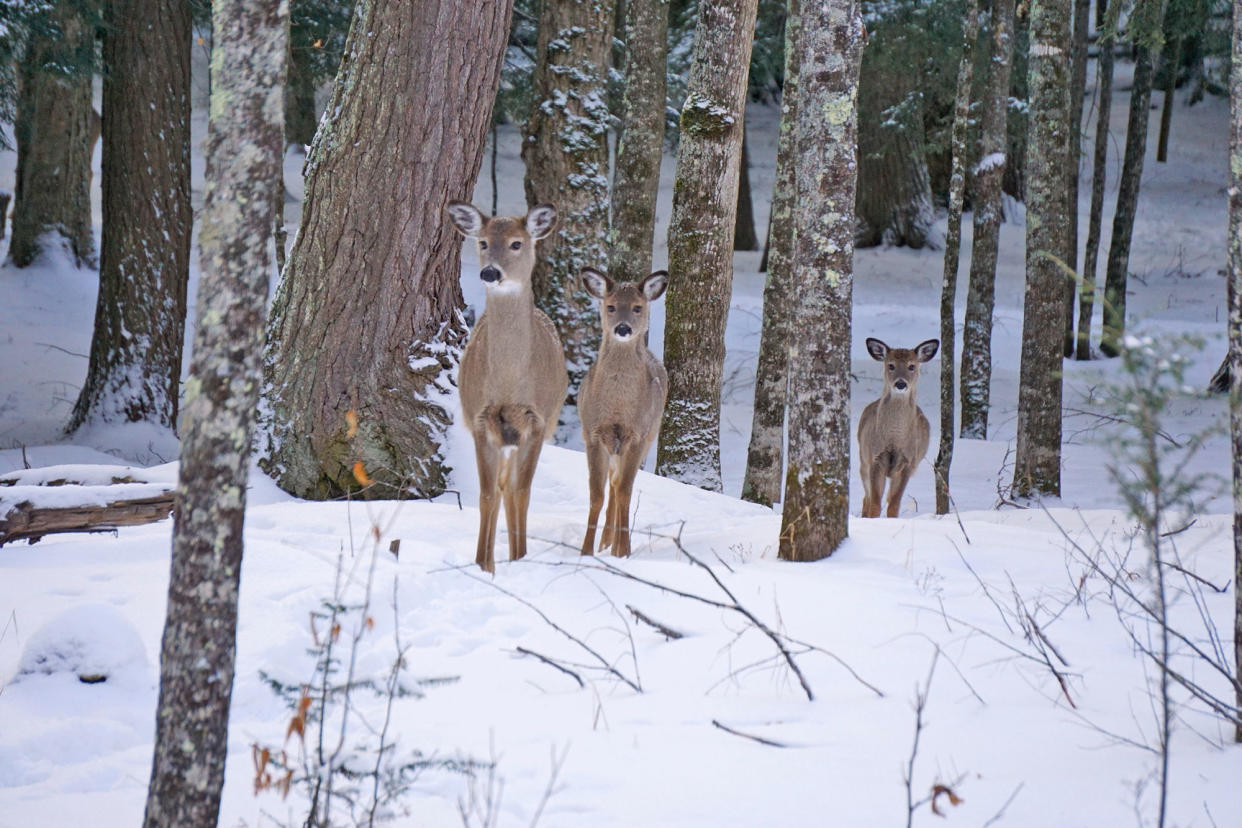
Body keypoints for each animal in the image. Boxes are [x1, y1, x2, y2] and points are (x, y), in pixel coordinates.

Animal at [444, 203, 566, 573]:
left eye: (516, 243)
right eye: (483, 242)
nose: (489, 273)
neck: (510, 383)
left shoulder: (537, 420)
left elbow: (521, 493)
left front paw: (520, 557)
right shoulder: (482, 419)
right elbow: (487, 495)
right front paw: (483, 565)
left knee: (512, 488)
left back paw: (515, 554)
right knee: (500, 488)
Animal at [573, 269, 665, 561]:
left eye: (637, 307)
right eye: (611, 306)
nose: (623, 328)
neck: (616, 408)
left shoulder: (637, 435)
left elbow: (625, 490)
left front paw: (623, 551)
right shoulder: (591, 433)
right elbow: (596, 495)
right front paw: (586, 551)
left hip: (649, 436)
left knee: (618, 485)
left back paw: (612, 544)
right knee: (611, 484)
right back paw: (605, 542)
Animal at [854, 337, 938, 518]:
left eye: (911, 366)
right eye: (891, 365)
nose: (900, 383)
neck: (894, 439)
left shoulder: (908, 462)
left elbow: (894, 504)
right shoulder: (875, 457)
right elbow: (875, 503)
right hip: (863, 459)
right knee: (866, 498)